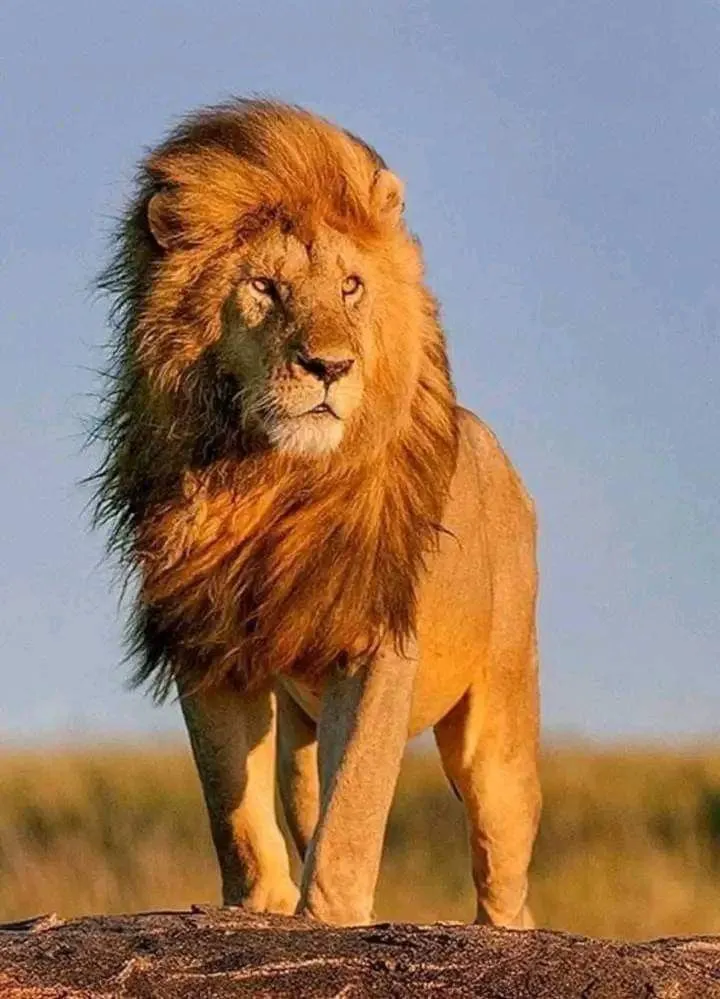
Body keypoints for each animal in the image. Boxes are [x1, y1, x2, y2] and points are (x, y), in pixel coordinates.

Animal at [93, 98, 541, 927]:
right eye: (266, 287)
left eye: (353, 287)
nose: (330, 366)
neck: (268, 476)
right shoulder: (207, 638)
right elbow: (232, 808)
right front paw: (259, 906)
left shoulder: (376, 645)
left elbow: (355, 807)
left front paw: (328, 917)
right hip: (301, 740)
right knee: (303, 795)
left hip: (498, 733)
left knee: (504, 867)